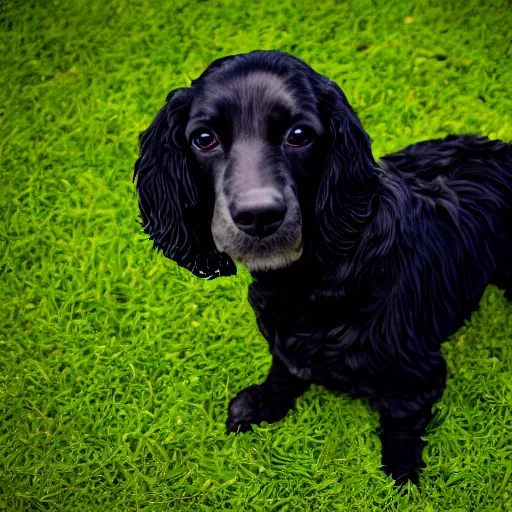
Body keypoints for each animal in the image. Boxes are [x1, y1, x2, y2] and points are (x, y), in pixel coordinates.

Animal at [133, 50, 512, 482]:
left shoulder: (416, 373)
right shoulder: (284, 337)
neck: (315, 277)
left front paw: (402, 472)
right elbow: (282, 370)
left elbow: (401, 423)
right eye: (203, 139)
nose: (259, 216)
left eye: (299, 134)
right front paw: (260, 405)